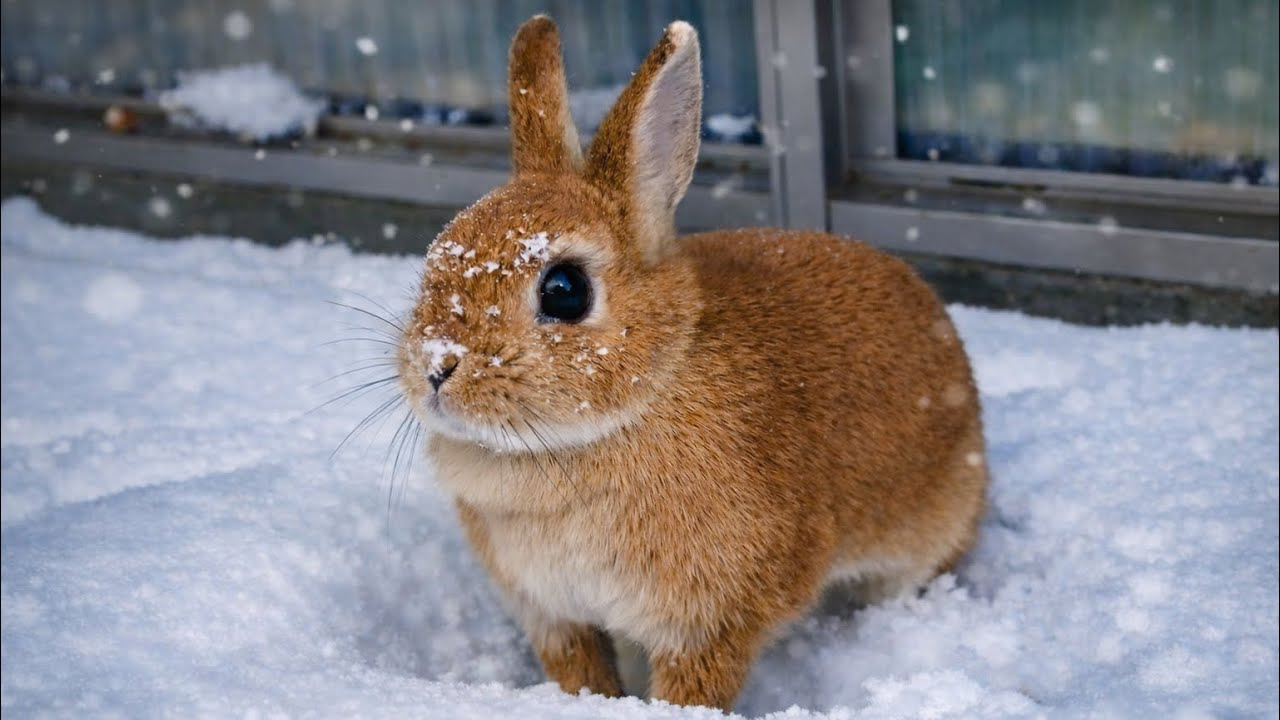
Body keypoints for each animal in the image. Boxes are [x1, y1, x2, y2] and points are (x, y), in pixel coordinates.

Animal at [395, 15, 987, 711]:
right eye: (438, 253)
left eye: (564, 291)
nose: (436, 368)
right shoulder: (554, 614)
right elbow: (580, 673)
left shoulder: (707, 622)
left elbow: (692, 689)